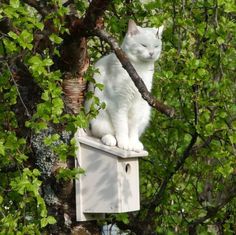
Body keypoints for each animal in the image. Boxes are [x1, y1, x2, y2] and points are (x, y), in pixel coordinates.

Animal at [85, 20, 164, 152]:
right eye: (143, 45)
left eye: (156, 46)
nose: (151, 53)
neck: (138, 71)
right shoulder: (119, 104)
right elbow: (122, 126)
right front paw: (124, 143)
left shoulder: (138, 105)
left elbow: (133, 128)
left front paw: (132, 143)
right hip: (99, 117)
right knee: (101, 133)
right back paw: (110, 140)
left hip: (145, 114)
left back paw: (137, 144)